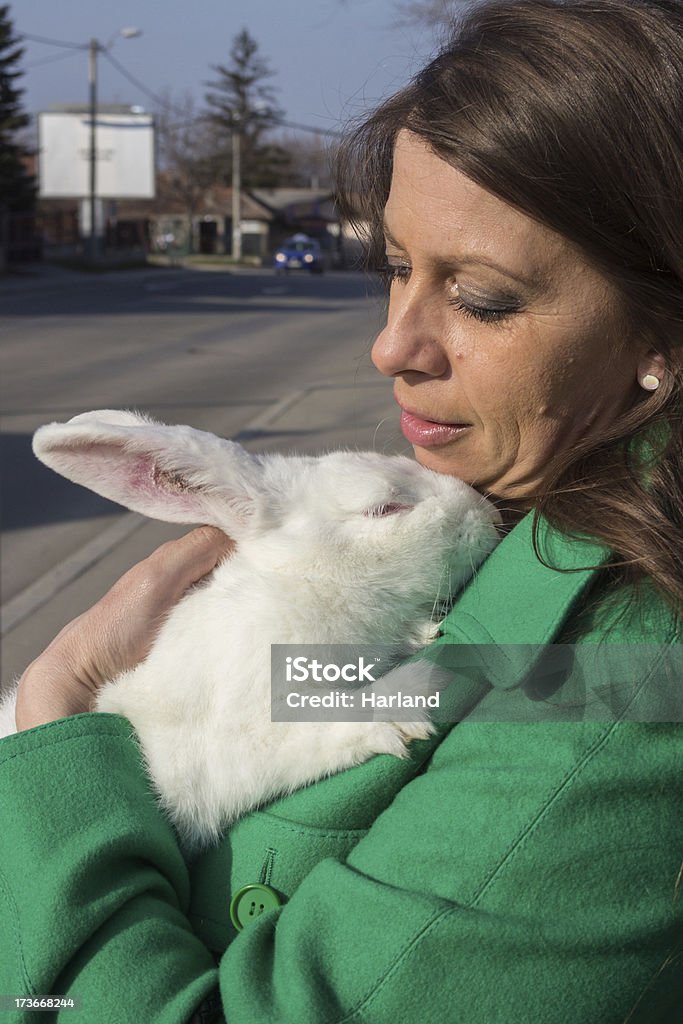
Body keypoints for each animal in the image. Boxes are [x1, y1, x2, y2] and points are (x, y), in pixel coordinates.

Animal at [0, 407, 501, 847]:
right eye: (386, 507)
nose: (490, 516)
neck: (310, 579)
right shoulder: (235, 733)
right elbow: (311, 726)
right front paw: (414, 690)